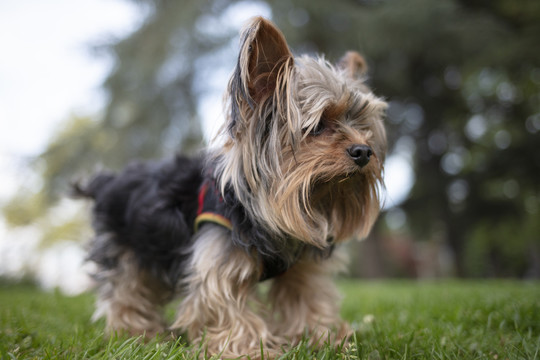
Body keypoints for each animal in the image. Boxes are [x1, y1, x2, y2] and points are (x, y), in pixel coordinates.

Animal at [77, 16, 388, 358]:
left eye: (361, 126)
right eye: (318, 126)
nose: (364, 152)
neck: (261, 212)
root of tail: (106, 181)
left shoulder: (302, 266)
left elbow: (307, 297)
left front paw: (324, 339)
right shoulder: (217, 259)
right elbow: (226, 306)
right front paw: (249, 350)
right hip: (127, 248)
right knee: (127, 292)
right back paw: (138, 337)